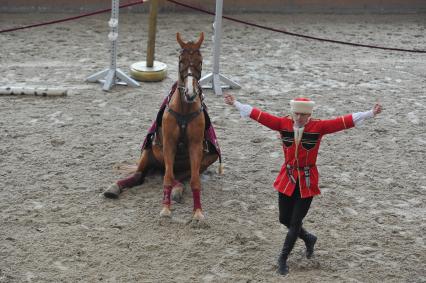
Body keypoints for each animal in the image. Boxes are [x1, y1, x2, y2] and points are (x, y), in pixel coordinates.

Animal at [104, 33, 220, 223]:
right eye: (181, 60)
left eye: (200, 61)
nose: (190, 93)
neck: (184, 109)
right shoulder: (169, 144)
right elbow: (167, 178)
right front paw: (165, 209)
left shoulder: (196, 146)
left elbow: (194, 181)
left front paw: (197, 212)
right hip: (148, 152)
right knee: (142, 175)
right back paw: (114, 188)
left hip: (206, 159)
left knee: (178, 177)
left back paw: (178, 190)